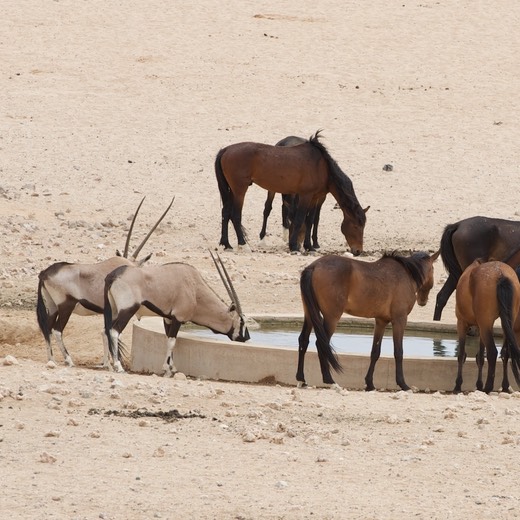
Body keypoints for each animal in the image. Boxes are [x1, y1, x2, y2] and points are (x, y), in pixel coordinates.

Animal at [36, 196, 176, 370]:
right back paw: (69, 360)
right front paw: (110, 364)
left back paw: (52, 360)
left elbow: (104, 332)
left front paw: (106, 364)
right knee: (56, 330)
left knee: (47, 328)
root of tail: (45, 273)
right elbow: (107, 333)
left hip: (52, 306)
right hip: (65, 306)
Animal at [103, 251, 250, 374]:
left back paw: (108, 365)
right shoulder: (178, 318)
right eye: (242, 321)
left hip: (113, 311)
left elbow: (169, 338)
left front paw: (171, 367)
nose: (247, 338)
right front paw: (166, 369)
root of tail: (112, 276)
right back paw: (118, 366)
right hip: (127, 311)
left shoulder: (168, 318)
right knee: (114, 331)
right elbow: (172, 341)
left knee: (106, 331)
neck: (195, 289)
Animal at [213, 131, 368, 255]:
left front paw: (309, 247)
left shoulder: (315, 197)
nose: (358, 251)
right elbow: (299, 219)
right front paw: (294, 246)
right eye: (356, 226)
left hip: (231, 190)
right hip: (239, 189)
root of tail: (225, 150)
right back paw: (243, 245)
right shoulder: (305, 196)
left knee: (226, 213)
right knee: (235, 215)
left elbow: (310, 221)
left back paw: (227, 244)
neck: (322, 167)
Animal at [296, 251, 438, 390]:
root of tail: (314, 266)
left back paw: (301, 379)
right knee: (321, 344)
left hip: (310, 313)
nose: (422, 301)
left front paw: (369, 383)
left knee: (303, 340)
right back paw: (329, 380)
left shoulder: (381, 321)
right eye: (433, 269)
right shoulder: (400, 320)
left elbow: (375, 352)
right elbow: (398, 352)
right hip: (331, 318)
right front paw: (402, 383)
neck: (406, 274)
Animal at [452, 260, 520, 394]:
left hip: (486, 324)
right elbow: (480, 358)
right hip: (504, 324)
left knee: (492, 352)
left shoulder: (461, 323)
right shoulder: (480, 328)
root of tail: (501, 274)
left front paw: (458, 385)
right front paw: (478, 384)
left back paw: (488, 387)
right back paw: (504, 386)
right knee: (505, 352)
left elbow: (461, 354)